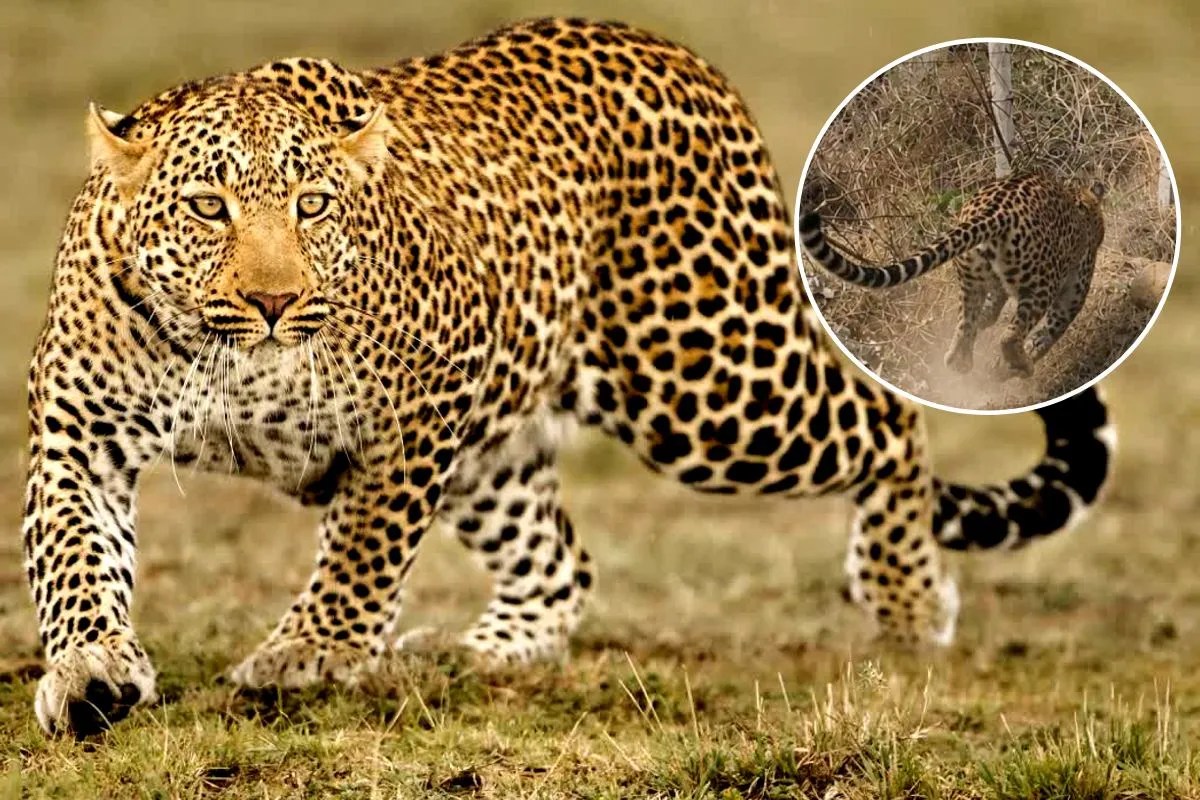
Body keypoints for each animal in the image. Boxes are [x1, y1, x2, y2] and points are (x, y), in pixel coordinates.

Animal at [798, 173, 1106, 378]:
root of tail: (994, 211)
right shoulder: (1074, 288)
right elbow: (1050, 329)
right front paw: (1023, 360)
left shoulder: (997, 289)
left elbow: (990, 315)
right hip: (1041, 285)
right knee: (1009, 336)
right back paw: (1022, 366)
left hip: (972, 280)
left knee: (966, 325)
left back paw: (960, 362)